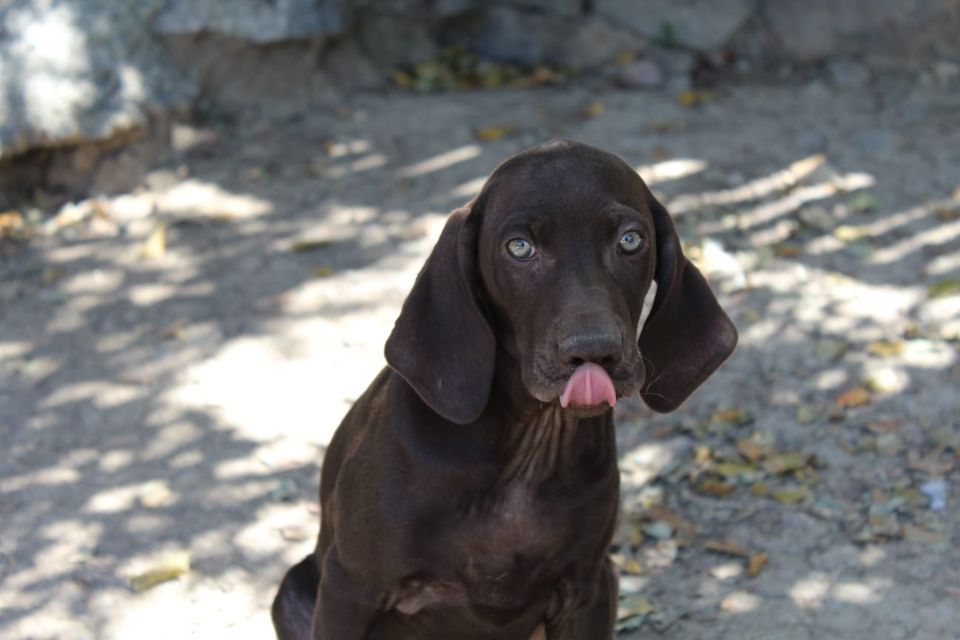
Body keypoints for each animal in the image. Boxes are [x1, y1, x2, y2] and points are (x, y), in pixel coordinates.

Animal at [274, 141, 740, 640]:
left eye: (631, 240)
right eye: (519, 248)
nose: (593, 351)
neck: (527, 446)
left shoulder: (587, 589)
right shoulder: (351, 588)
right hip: (295, 592)